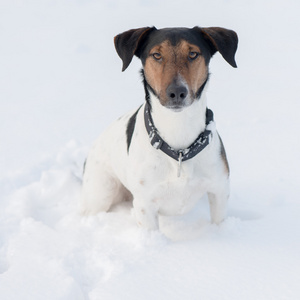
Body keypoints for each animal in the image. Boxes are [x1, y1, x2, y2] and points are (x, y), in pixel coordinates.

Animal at [80, 27, 239, 231]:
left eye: (193, 54)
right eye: (156, 55)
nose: (177, 92)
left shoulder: (219, 190)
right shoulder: (145, 205)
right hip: (101, 192)